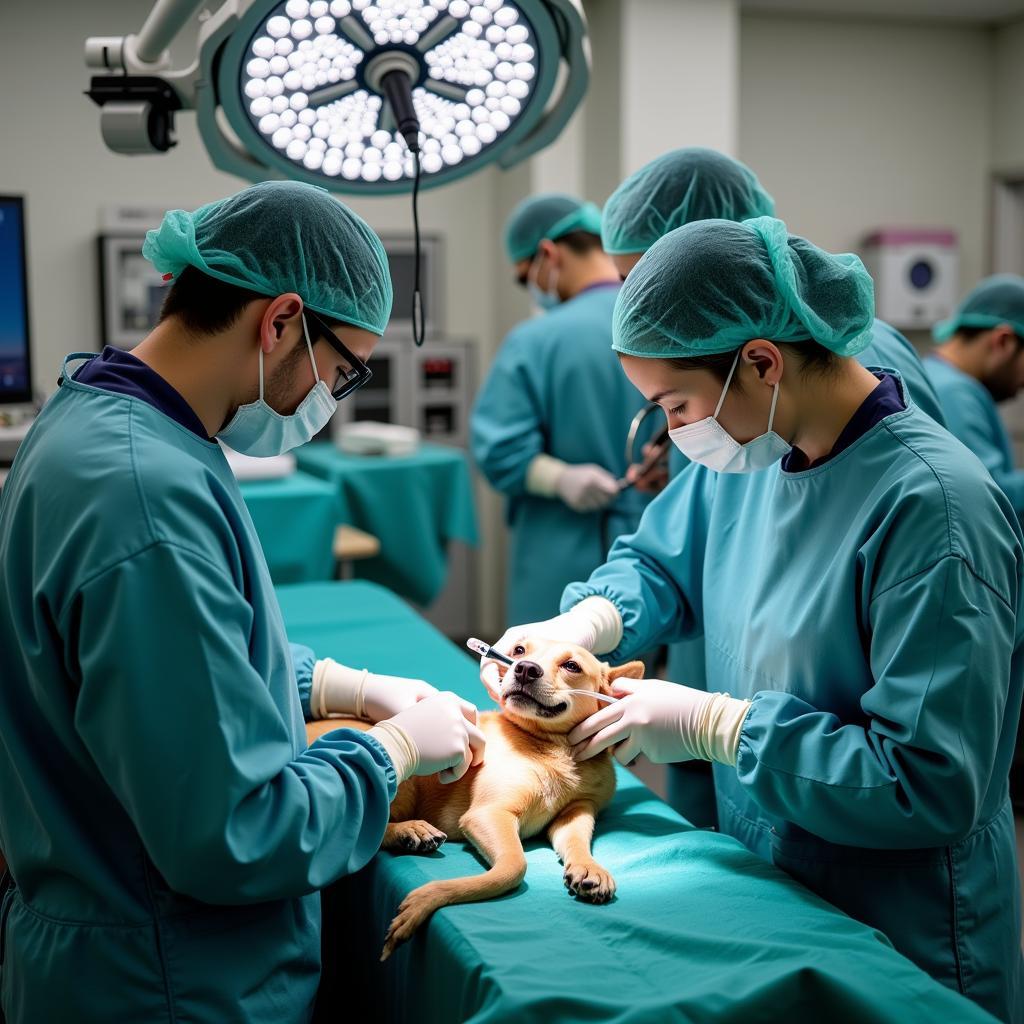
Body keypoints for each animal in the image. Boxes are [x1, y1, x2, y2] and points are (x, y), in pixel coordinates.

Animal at [301, 634, 647, 962]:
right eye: (519, 651)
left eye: (572, 665)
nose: (525, 669)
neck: (552, 748)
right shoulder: (488, 815)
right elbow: (513, 867)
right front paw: (426, 898)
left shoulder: (578, 810)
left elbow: (577, 840)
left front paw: (589, 868)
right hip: (402, 776)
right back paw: (410, 830)